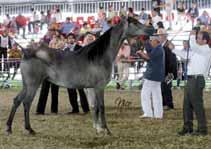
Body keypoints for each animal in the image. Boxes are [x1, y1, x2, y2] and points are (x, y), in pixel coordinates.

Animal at [4, 16, 153, 135]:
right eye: (135, 23)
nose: (151, 29)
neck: (99, 56)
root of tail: (26, 52)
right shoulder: (99, 87)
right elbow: (101, 107)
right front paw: (106, 130)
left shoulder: (91, 88)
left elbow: (94, 107)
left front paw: (97, 128)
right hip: (33, 84)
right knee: (26, 103)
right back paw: (29, 129)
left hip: (26, 85)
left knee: (17, 100)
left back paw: (9, 128)